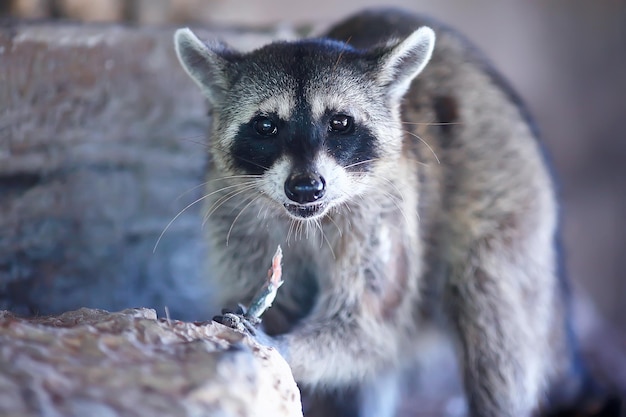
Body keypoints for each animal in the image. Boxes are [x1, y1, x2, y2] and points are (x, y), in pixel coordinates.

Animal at [173, 8, 604, 416]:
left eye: (340, 123)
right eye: (265, 126)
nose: (306, 187)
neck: (306, 219)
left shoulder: (383, 214)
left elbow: (366, 329)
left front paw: (280, 344)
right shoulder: (235, 218)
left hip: (505, 193)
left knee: (490, 312)